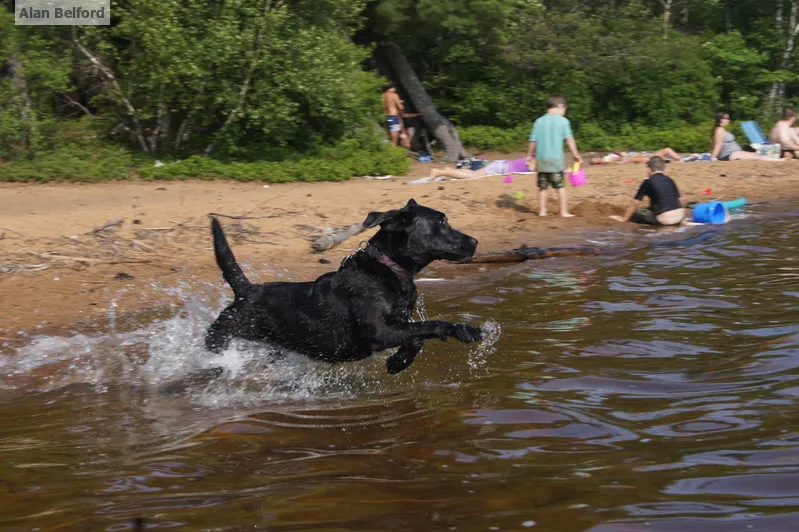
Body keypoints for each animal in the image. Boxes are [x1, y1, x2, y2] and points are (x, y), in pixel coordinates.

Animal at [205, 200, 482, 374]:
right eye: (443, 222)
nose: (475, 241)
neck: (388, 268)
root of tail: (246, 291)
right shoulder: (380, 332)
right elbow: (431, 325)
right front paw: (464, 330)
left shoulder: (398, 325)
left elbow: (418, 338)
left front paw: (397, 362)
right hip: (220, 337)